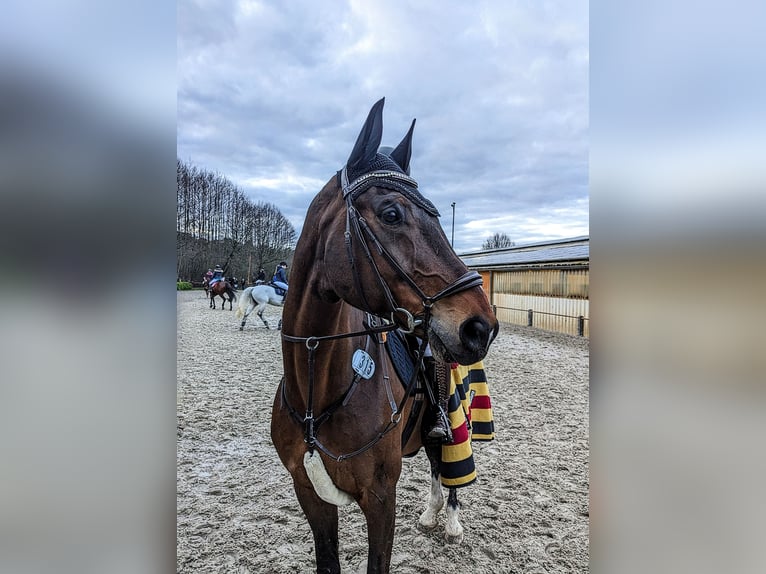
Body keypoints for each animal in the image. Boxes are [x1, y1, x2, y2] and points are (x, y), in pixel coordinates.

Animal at [272, 97, 500, 572]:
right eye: (392, 213)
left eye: (437, 214)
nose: (480, 325)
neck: (318, 392)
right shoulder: (310, 494)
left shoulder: (379, 499)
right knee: (434, 462)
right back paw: (432, 512)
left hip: (459, 417)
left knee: (450, 467)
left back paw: (450, 519)